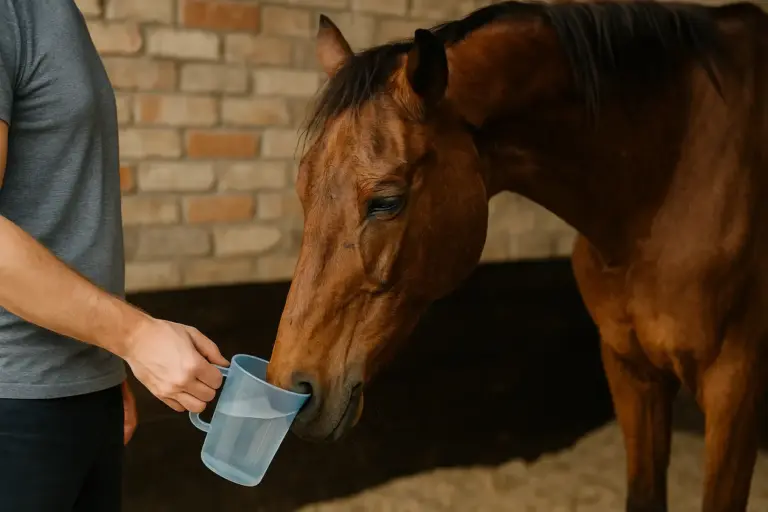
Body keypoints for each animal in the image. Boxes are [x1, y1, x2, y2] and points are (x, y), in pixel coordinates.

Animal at [264, 1, 768, 510]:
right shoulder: (631, 372)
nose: (289, 389)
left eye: (387, 201)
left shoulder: (735, 390)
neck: (665, 178)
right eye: (303, 188)